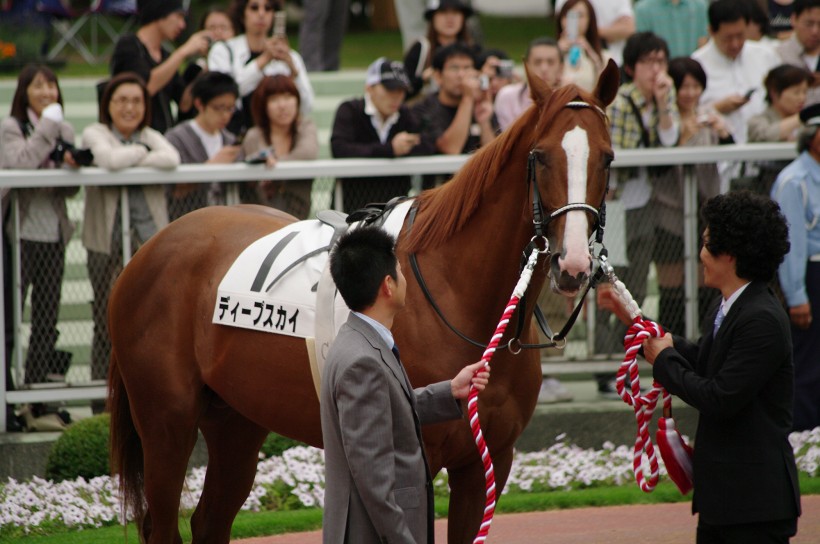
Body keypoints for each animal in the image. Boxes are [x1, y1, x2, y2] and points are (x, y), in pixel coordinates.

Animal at [107, 61, 616, 540]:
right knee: (161, 524)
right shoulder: (417, 458)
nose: (572, 265)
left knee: (210, 522)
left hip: (236, 419)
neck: (461, 297)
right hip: (166, 421)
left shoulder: (487, 462)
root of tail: (146, 253)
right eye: (540, 157)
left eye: (608, 158)